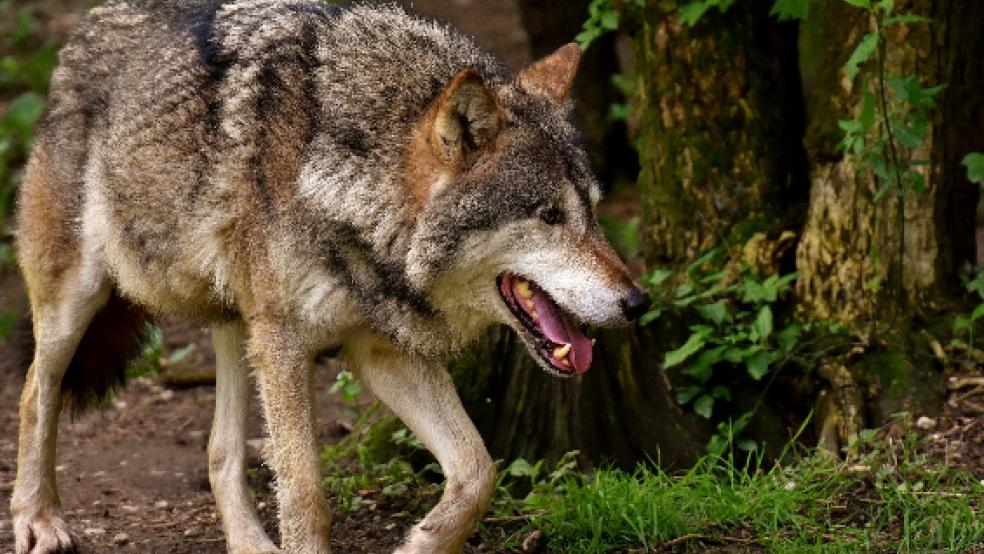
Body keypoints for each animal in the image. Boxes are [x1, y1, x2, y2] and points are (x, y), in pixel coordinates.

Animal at [10, 1, 651, 553]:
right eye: (549, 216)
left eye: (593, 212)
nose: (638, 301)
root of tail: (86, 25)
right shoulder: (287, 344)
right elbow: (306, 497)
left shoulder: (380, 350)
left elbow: (477, 471)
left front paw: (420, 542)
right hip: (80, 301)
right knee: (34, 394)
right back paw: (38, 521)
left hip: (239, 325)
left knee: (220, 452)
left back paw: (249, 545)